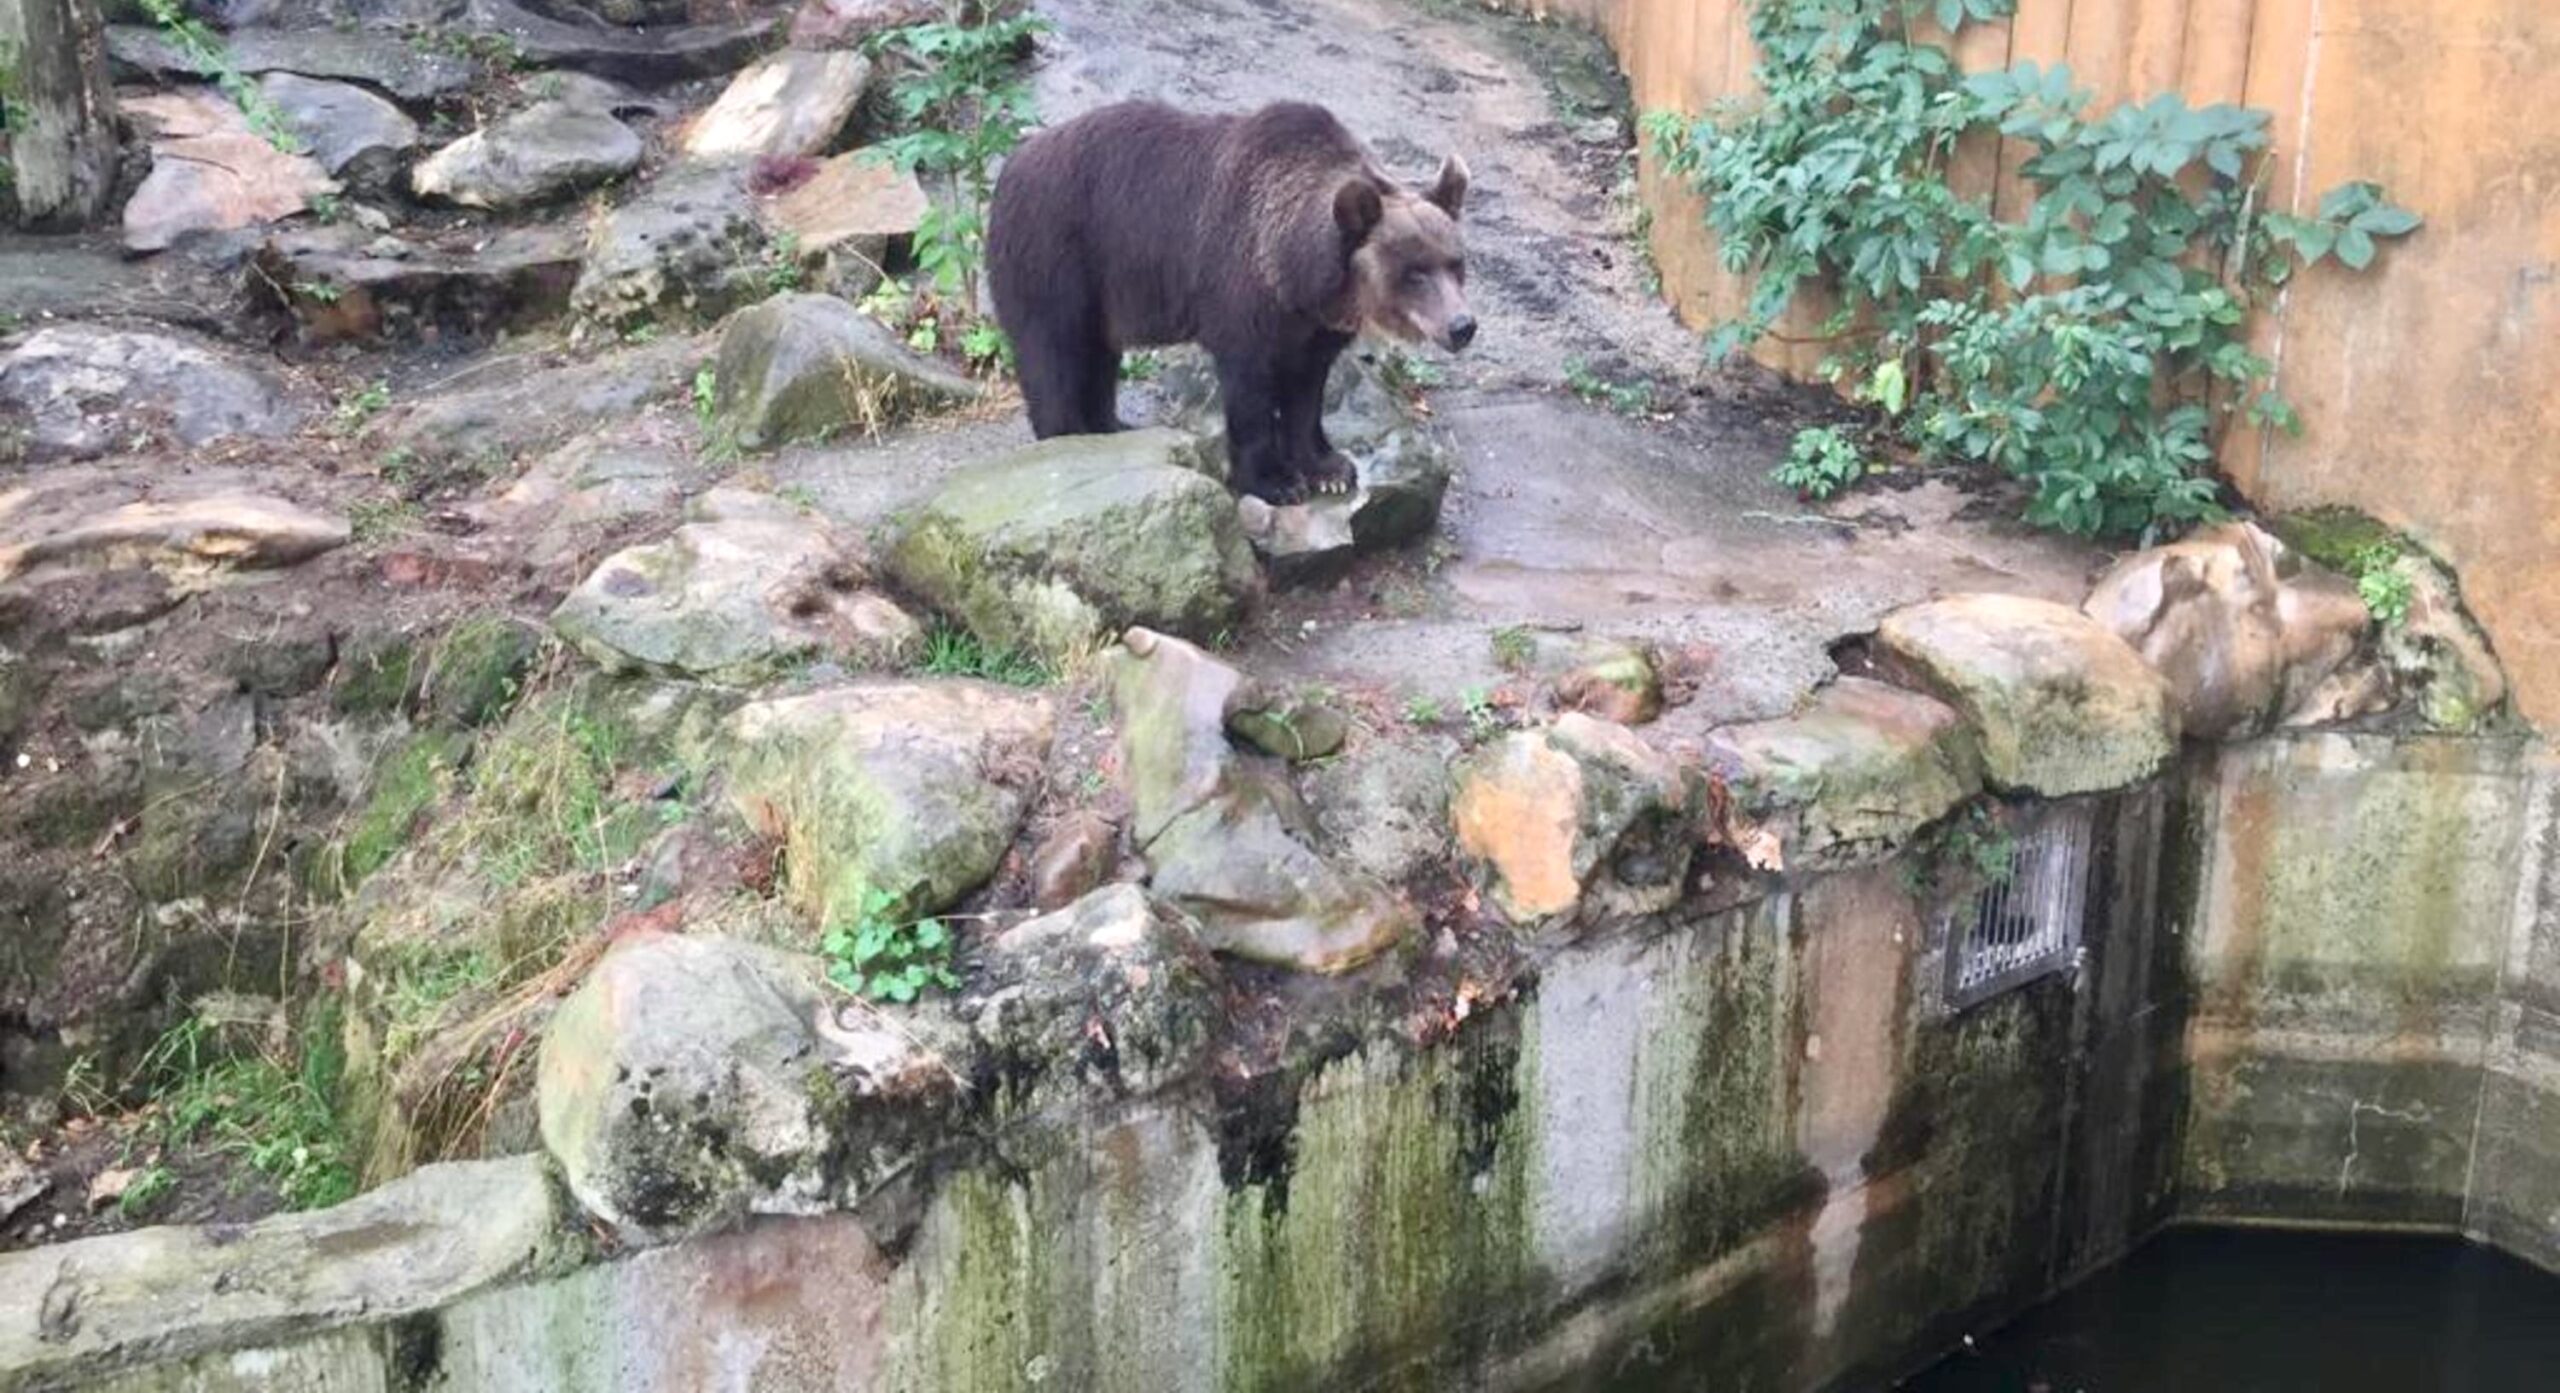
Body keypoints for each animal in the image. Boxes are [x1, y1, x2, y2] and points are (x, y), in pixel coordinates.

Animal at [985, 100, 1474, 505]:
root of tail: (1010, 164)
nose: (1462, 325)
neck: (1297, 270)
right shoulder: (1240, 296)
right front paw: (1277, 482)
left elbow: (1307, 391)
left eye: (1456, 263)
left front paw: (1329, 468)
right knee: (1054, 350)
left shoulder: (1314, 326)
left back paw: (1109, 427)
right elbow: (1249, 392)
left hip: (1105, 290)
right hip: (1057, 252)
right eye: (1414, 272)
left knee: (1099, 356)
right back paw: (1068, 441)